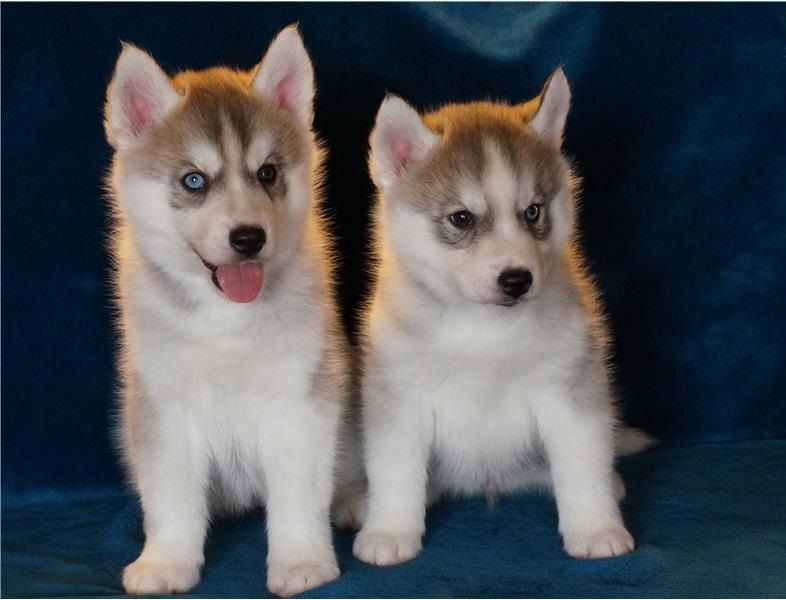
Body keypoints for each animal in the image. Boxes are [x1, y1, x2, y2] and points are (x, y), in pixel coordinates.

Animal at [104, 26, 348, 596]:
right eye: (194, 180)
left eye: (268, 172)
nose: (248, 238)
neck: (225, 318)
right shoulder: (164, 405)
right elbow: (171, 497)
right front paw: (166, 561)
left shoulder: (300, 398)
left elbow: (299, 493)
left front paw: (301, 561)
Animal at [348, 69, 652, 566]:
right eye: (461, 218)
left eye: (532, 211)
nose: (517, 280)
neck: (483, 332)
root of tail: (486, 481)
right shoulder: (400, 396)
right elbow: (396, 471)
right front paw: (389, 531)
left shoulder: (570, 386)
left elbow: (581, 463)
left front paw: (596, 528)